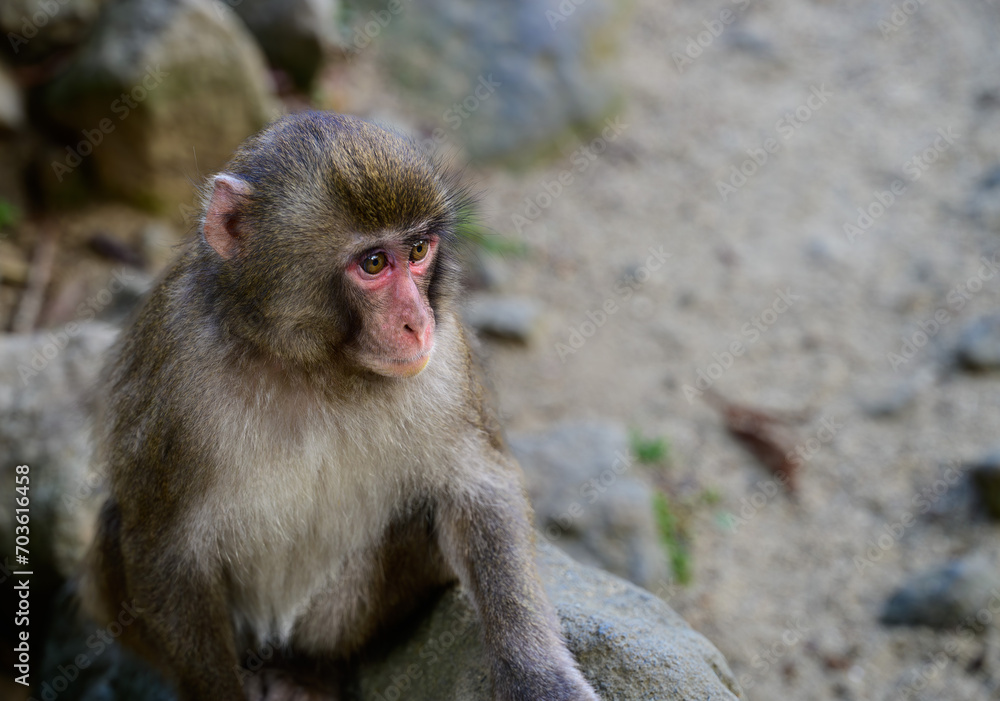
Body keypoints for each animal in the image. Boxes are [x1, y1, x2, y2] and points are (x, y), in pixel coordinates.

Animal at [80, 110, 600, 700]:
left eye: (417, 252)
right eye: (373, 263)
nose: (417, 323)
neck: (314, 363)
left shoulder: (445, 362)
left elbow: (481, 492)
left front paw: (539, 676)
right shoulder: (174, 365)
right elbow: (163, 550)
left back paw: (312, 668)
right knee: (113, 530)